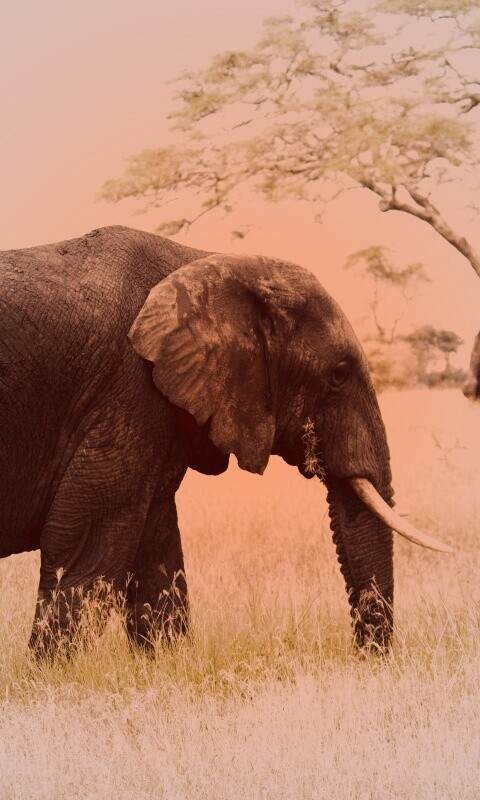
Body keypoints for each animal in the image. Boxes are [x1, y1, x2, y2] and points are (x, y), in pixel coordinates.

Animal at [0, 225, 451, 656]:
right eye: (339, 374)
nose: (364, 658)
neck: (208, 260)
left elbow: (156, 551)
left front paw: (166, 661)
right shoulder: (126, 392)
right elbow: (87, 548)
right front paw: (52, 672)